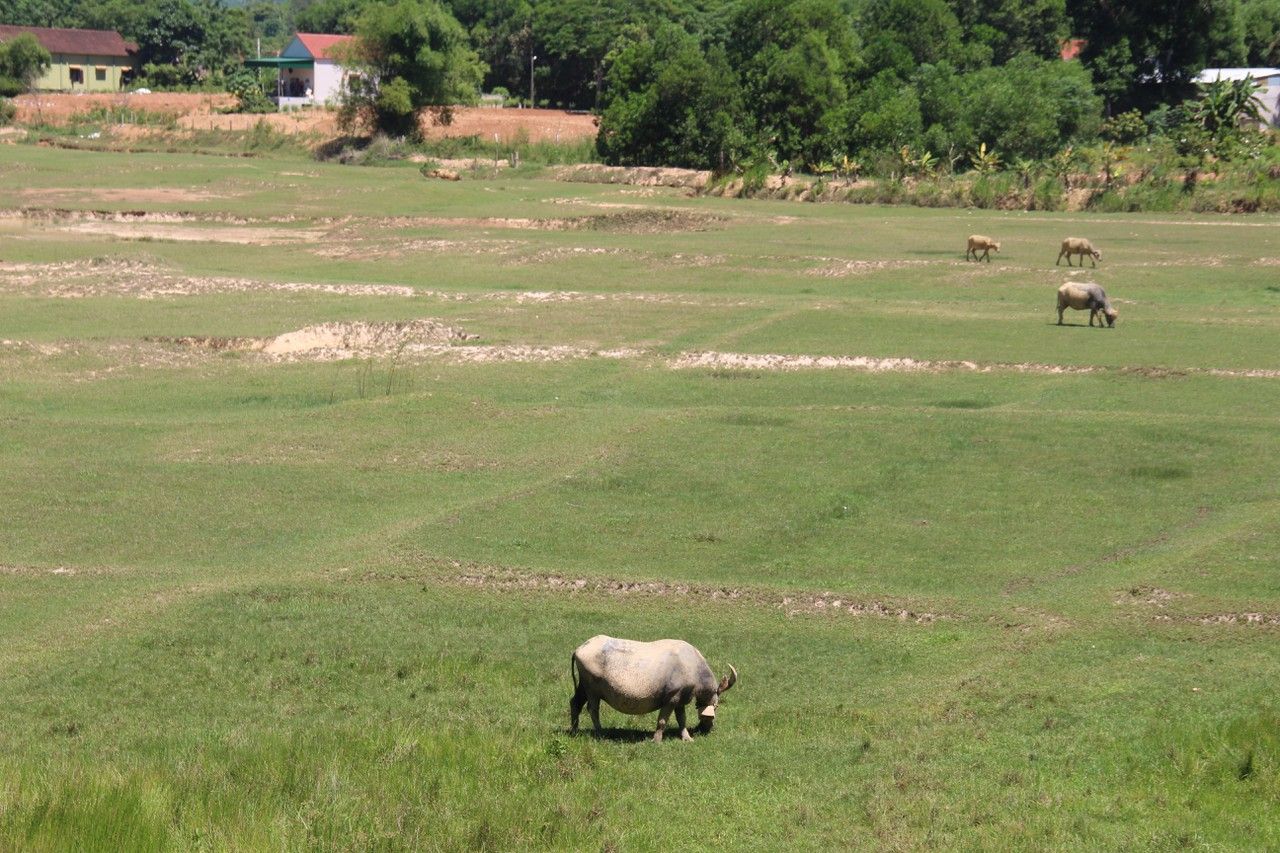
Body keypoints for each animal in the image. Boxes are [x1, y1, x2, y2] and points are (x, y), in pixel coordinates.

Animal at [568, 635, 737, 742]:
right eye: (716, 707)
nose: (707, 729)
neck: (695, 671)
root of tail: (578, 649)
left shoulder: (681, 698)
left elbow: (682, 719)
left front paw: (687, 738)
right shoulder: (672, 697)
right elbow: (662, 720)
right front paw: (656, 740)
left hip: (583, 683)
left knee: (575, 702)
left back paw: (574, 731)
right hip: (592, 685)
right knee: (592, 708)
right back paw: (600, 733)